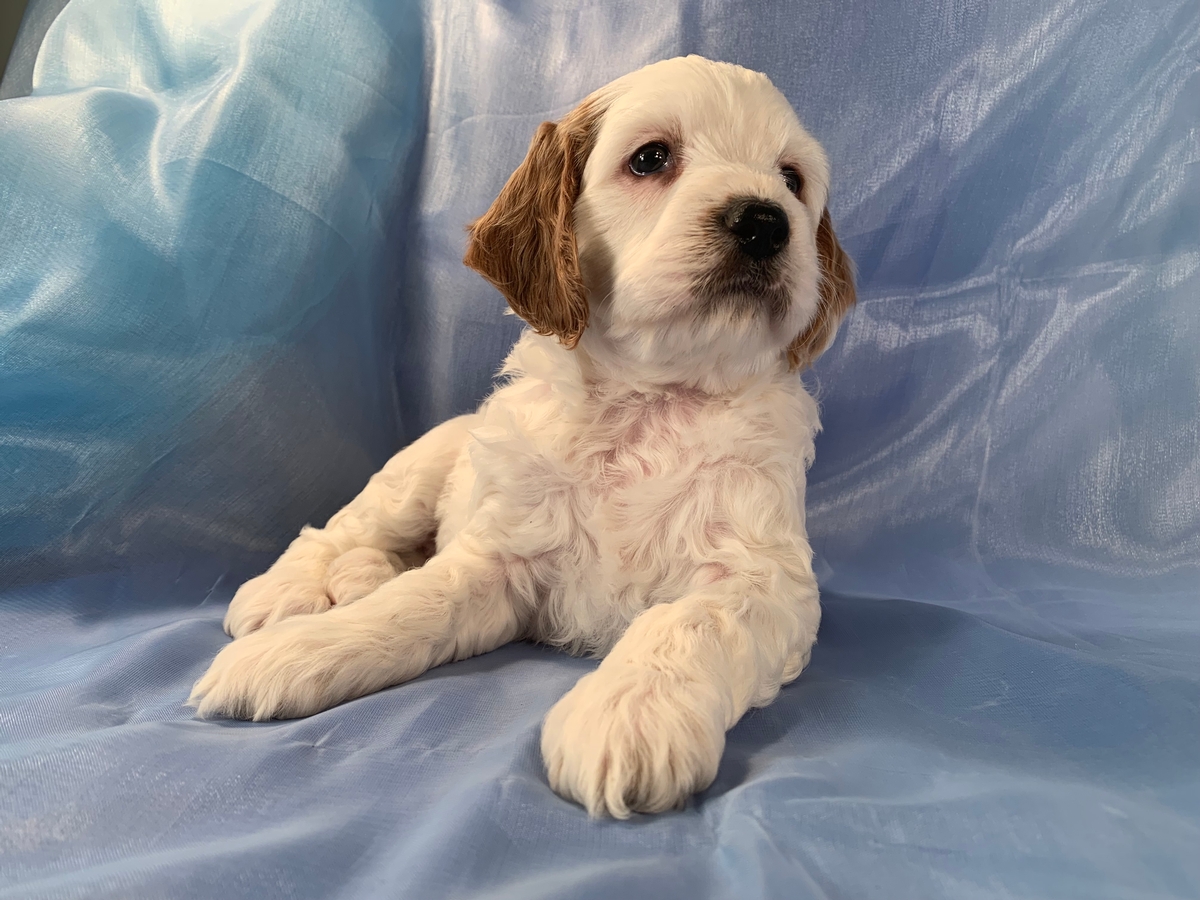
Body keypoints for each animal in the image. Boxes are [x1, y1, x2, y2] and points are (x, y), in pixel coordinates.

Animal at [189, 54, 854, 816]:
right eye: (651, 158)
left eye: (792, 180)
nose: (765, 221)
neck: (650, 402)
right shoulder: (502, 556)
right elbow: (415, 602)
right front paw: (298, 650)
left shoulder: (762, 578)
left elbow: (685, 623)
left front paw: (629, 713)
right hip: (414, 472)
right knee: (341, 531)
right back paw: (289, 592)